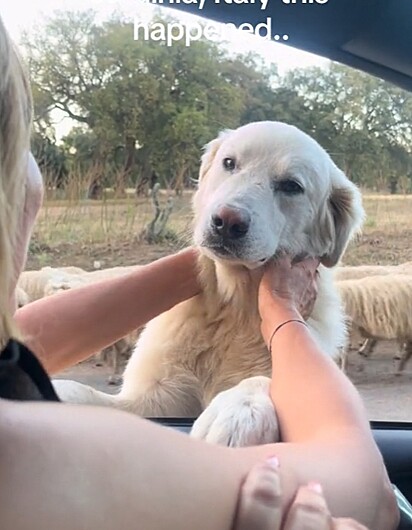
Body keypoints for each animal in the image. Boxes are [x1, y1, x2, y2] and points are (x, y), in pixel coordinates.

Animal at [54, 120, 364, 446]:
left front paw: (239, 409)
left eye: (292, 186)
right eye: (229, 163)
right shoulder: (158, 398)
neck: (233, 307)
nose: (227, 222)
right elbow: (81, 391)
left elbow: (267, 378)